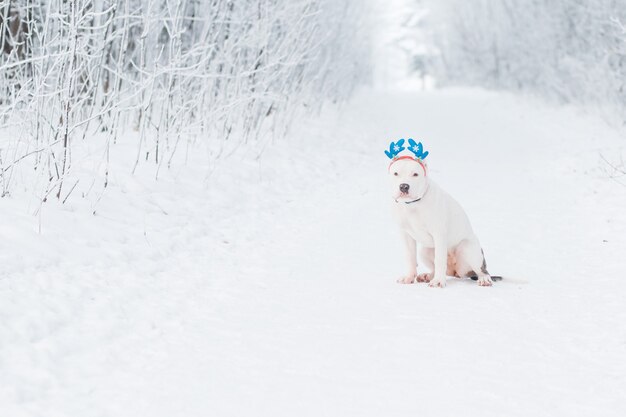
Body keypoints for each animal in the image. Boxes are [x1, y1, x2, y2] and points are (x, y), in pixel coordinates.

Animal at [386, 139, 498, 286]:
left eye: (415, 174)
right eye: (396, 173)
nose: (404, 186)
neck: (413, 205)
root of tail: (455, 272)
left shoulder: (438, 233)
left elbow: (439, 259)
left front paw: (438, 282)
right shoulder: (406, 235)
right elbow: (410, 257)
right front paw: (409, 277)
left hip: (467, 248)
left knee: (481, 270)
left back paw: (484, 279)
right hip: (425, 250)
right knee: (437, 267)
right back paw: (428, 276)